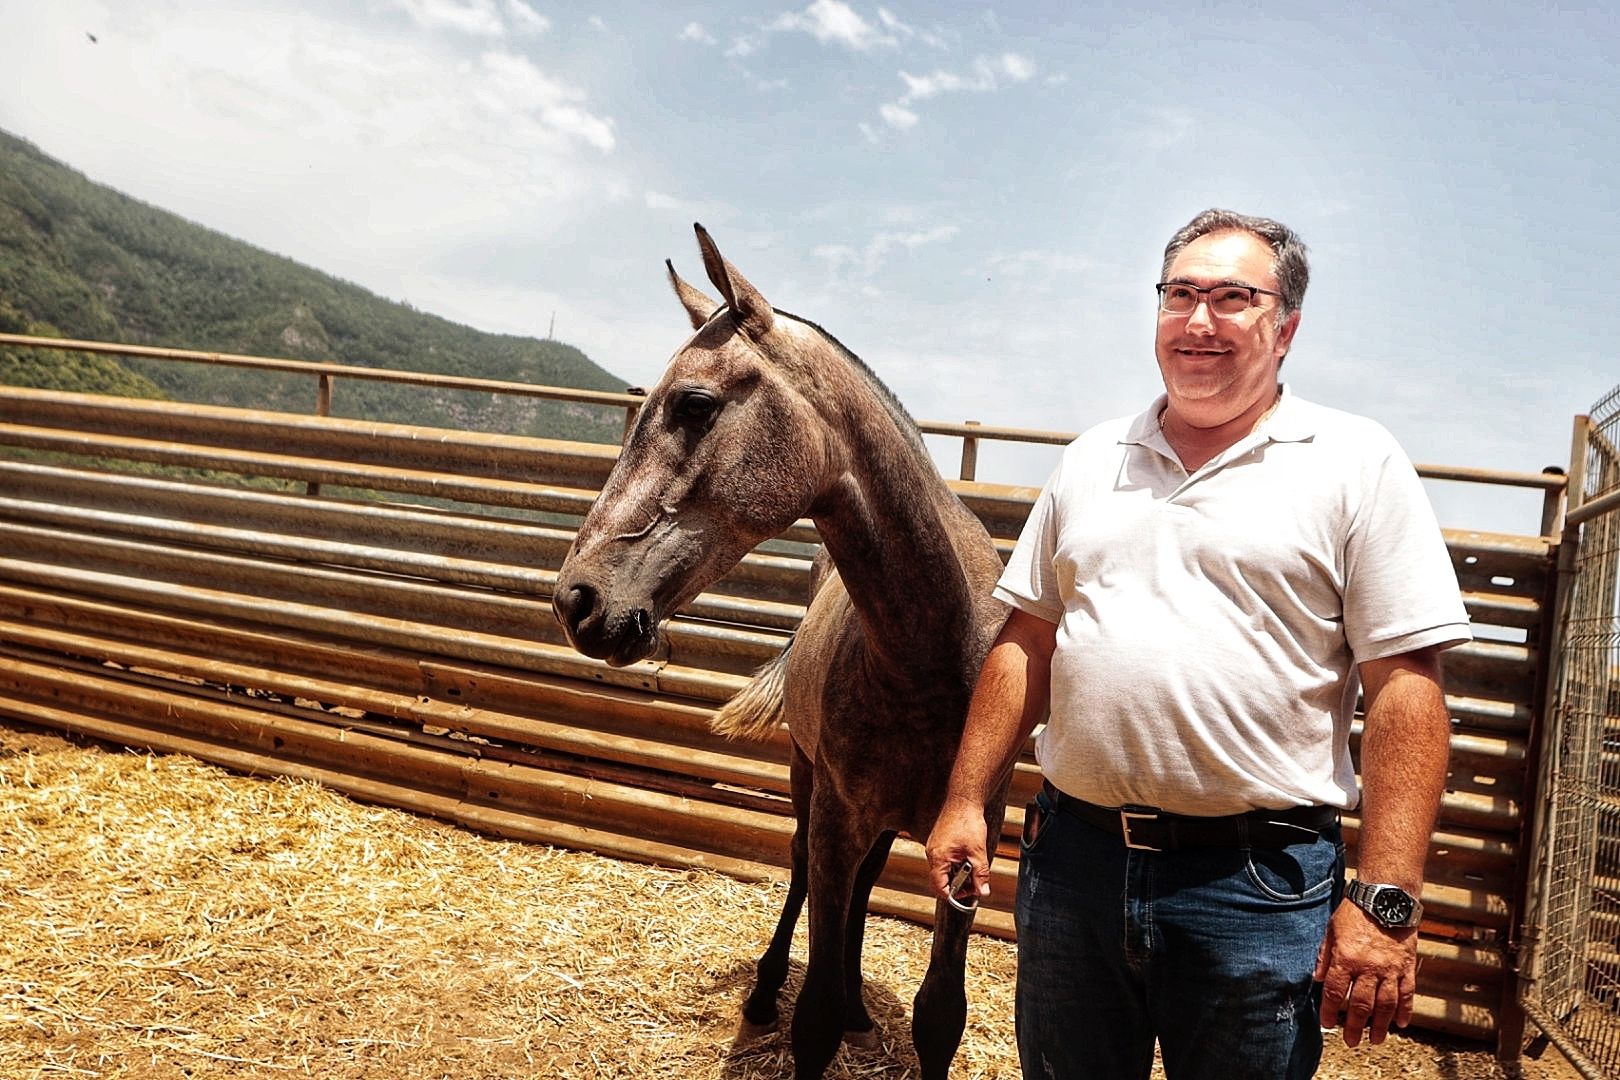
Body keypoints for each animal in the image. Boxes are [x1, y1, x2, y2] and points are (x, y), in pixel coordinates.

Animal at [557, 226, 1010, 1080]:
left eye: (695, 404)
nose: (576, 601)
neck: (930, 659)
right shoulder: (834, 810)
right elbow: (815, 1011)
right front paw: (800, 1003)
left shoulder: (972, 837)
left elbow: (941, 1011)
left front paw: (870, 1006)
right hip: (810, 781)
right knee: (804, 872)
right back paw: (768, 988)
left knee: (863, 889)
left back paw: (863, 1004)